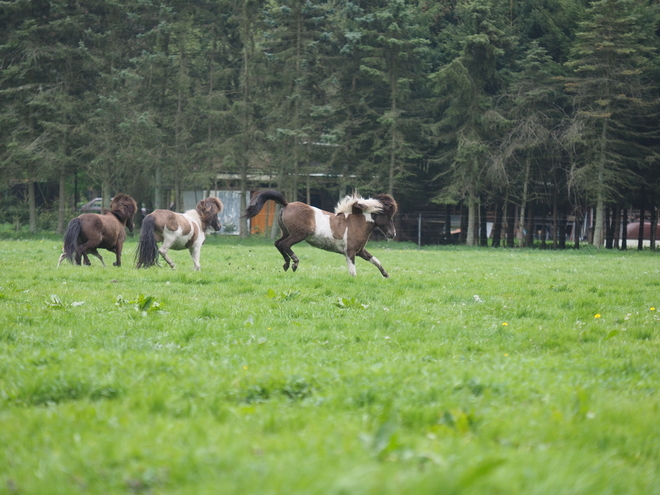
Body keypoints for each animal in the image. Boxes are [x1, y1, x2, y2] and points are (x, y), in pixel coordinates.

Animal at [242, 190, 398, 278]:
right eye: (387, 216)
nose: (392, 234)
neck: (356, 223)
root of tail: (287, 204)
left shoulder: (360, 251)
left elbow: (376, 261)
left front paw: (386, 275)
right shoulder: (350, 253)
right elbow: (353, 271)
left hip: (286, 233)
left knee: (278, 244)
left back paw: (287, 263)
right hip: (298, 235)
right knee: (284, 245)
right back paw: (294, 263)